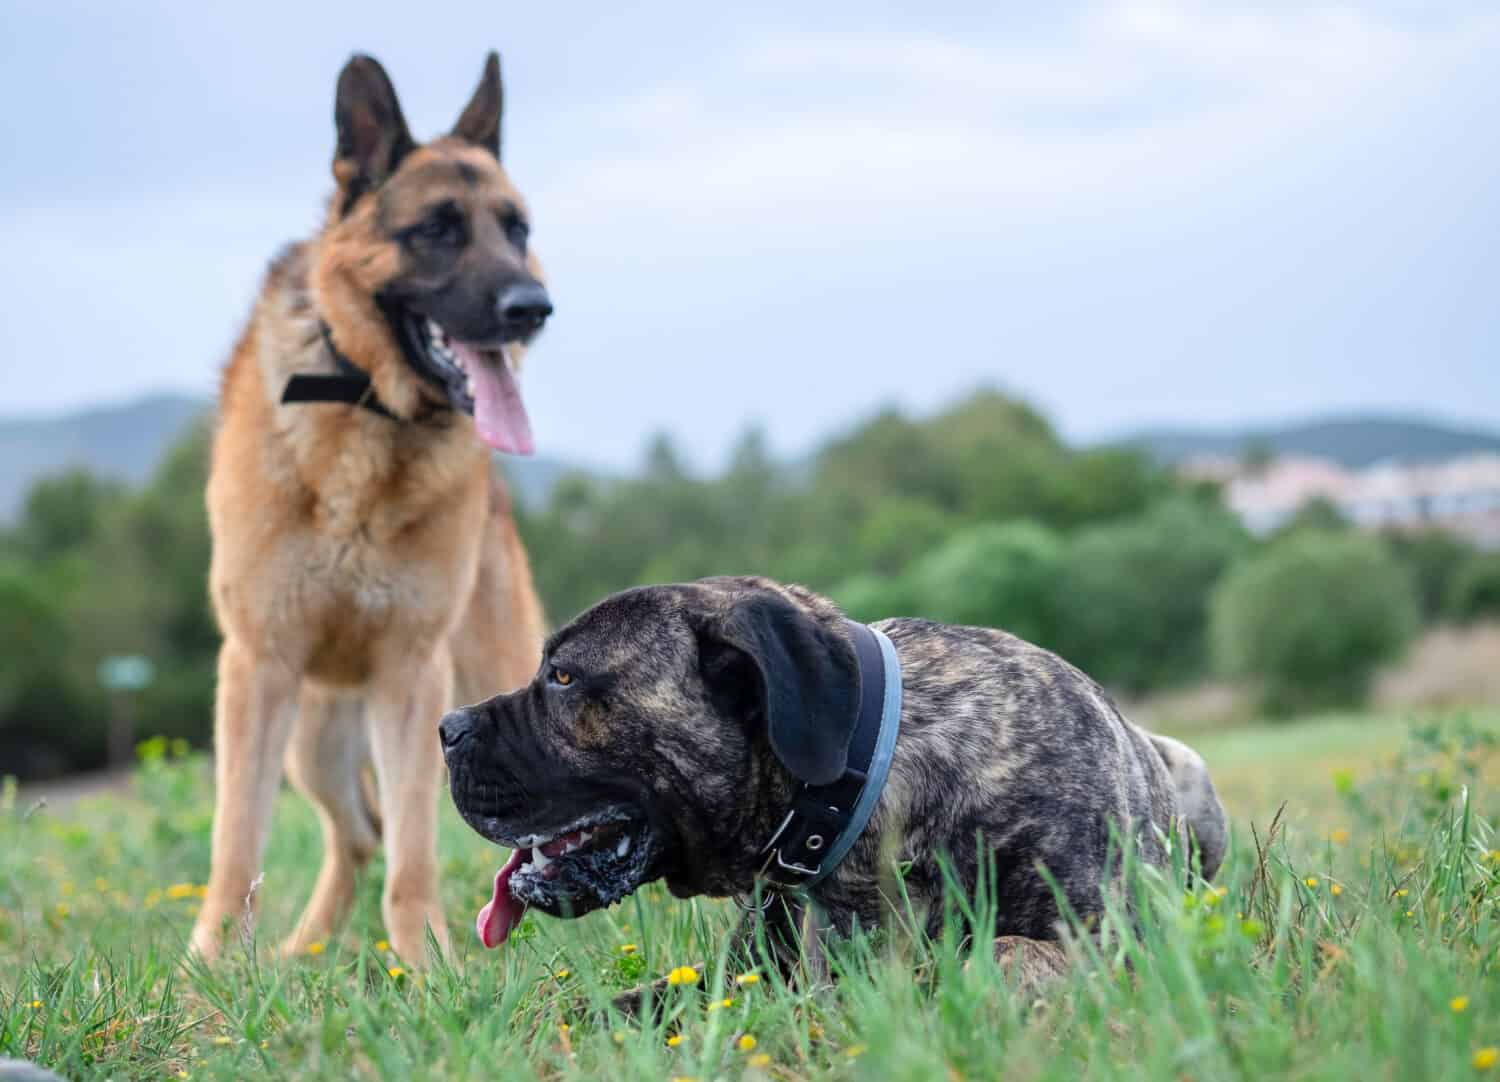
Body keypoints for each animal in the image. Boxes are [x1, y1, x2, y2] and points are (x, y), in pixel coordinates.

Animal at [190, 52, 549, 960]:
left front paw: (429, 966)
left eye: (517, 229)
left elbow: (415, 850)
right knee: (353, 834)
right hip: (310, 745)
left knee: (380, 834)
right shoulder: (258, 667)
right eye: (438, 229)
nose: (532, 308)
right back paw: (296, 954)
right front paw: (208, 968)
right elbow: (235, 843)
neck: (371, 413)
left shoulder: (412, 676)